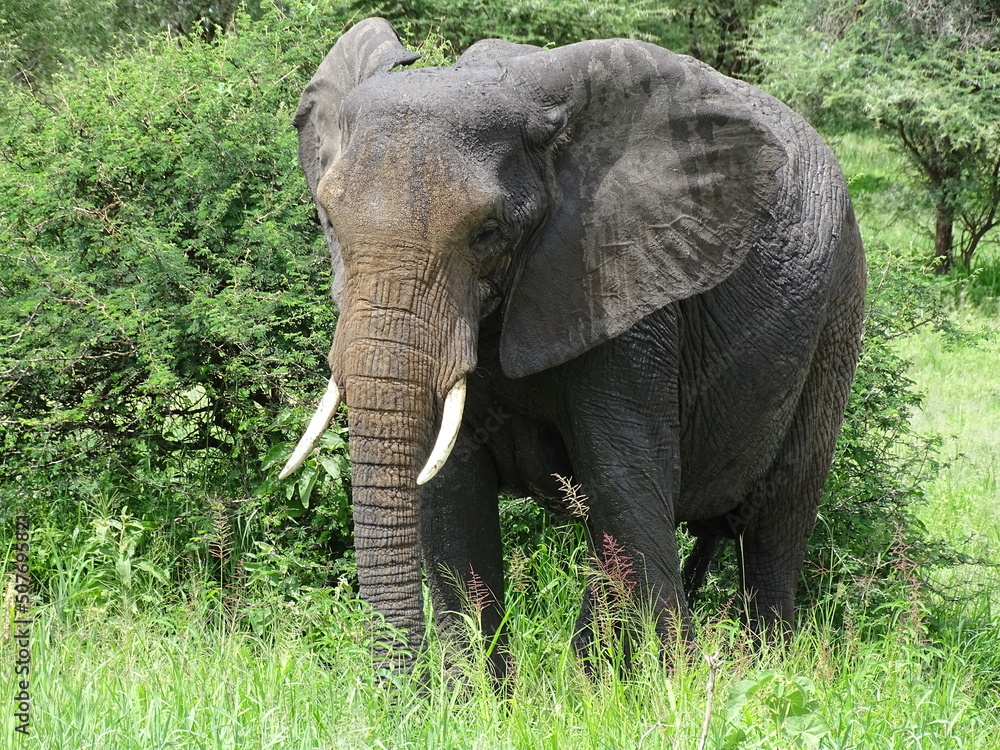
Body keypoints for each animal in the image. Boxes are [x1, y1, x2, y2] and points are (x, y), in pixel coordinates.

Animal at [280, 18, 867, 676]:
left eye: (487, 233)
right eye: (328, 221)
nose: (399, 689)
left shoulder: (622, 294)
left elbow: (626, 485)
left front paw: (678, 687)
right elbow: (451, 497)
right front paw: (474, 696)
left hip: (838, 311)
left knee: (775, 521)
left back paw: (768, 668)